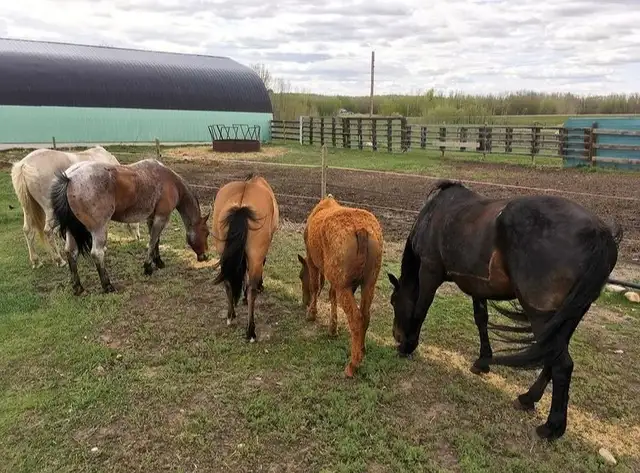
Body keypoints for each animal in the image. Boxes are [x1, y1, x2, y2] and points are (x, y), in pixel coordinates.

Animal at [10, 146, 141, 268]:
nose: (138, 238)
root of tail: (24, 165)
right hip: (49, 208)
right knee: (48, 231)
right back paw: (59, 260)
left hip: (27, 209)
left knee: (28, 230)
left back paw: (36, 261)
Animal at [50, 158, 210, 295]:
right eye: (206, 233)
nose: (205, 256)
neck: (170, 181)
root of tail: (69, 178)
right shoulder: (161, 217)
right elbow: (152, 241)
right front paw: (148, 267)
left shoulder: (152, 218)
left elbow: (156, 241)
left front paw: (158, 262)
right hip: (99, 229)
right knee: (97, 253)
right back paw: (107, 286)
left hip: (71, 231)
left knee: (71, 252)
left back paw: (78, 288)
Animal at [211, 174, 279, 342]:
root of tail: (241, 206)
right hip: (255, 255)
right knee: (251, 290)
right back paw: (251, 331)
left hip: (223, 252)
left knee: (227, 281)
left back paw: (231, 316)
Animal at [298, 195, 383, 378]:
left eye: (301, 276)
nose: (304, 301)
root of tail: (362, 230)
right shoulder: (336, 281)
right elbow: (331, 295)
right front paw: (333, 327)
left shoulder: (313, 262)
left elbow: (316, 286)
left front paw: (312, 313)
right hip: (368, 285)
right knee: (365, 316)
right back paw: (361, 350)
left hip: (344, 286)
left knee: (356, 319)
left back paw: (353, 365)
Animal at [387, 179, 622, 441]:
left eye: (394, 301)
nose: (397, 335)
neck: (434, 215)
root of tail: (601, 234)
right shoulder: (477, 285)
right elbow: (481, 320)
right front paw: (482, 362)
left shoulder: (430, 271)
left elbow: (420, 310)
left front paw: (408, 347)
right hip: (565, 319)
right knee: (550, 355)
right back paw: (528, 398)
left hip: (541, 316)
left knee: (562, 365)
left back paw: (552, 427)